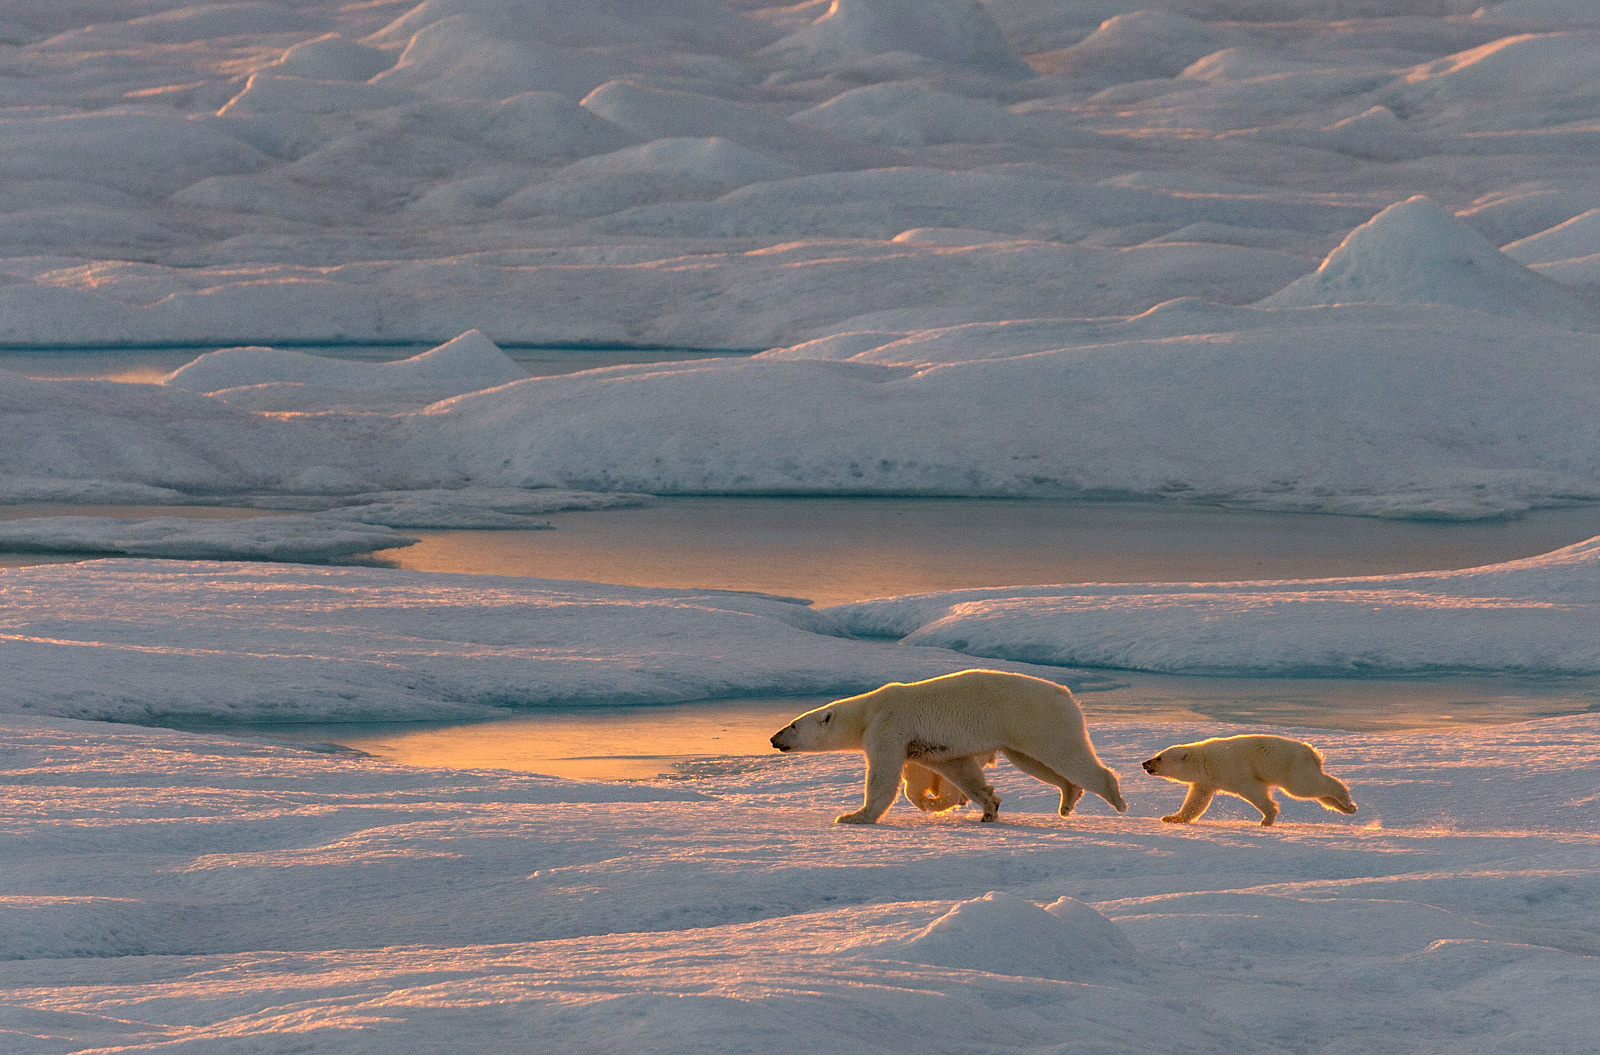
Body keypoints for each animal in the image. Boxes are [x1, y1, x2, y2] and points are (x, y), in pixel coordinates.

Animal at [769, 669, 1127, 824]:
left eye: (793, 725)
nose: (773, 739)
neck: (868, 710)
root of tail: (1066, 692)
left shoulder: (888, 727)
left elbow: (883, 775)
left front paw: (854, 816)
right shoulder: (932, 747)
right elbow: (960, 770)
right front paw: (988, 806)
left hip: (1036, 716)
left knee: (1064, 754)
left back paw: (1115, 797)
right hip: (1020, 730)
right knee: (1035, 762)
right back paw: (1068, 797)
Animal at [1142, 734, 1357, 827]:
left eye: (1159, 757)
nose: (1144, 763)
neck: (1204, 760)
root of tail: (1312, 752)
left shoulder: (1232, 769)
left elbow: (1253, 790)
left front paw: (1267, 818)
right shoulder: (1207, 780)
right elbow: (1196, 801)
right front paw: (1171, 817)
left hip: (1291, 767)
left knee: (1307, 786)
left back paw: (1347, 802)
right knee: (1320, 793)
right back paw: (1346, 808)